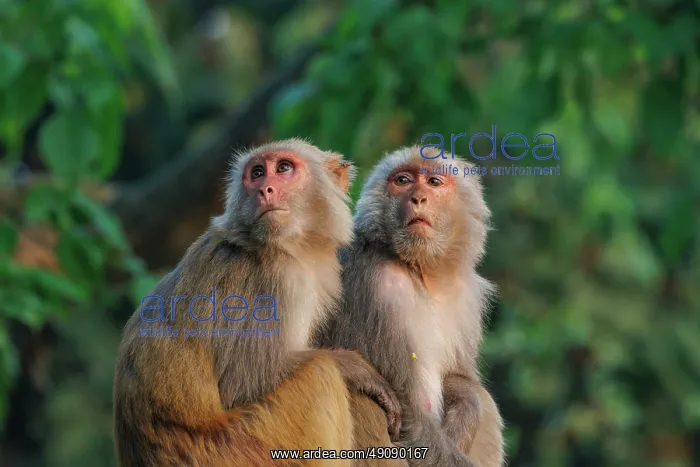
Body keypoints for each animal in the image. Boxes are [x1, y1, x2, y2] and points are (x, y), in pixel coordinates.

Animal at [113, 139, 402, 467]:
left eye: (284, 168)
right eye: (258, 172)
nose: (265, 190)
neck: (289, 247)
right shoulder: (271, 280)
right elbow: (243, 384)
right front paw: (353, 366)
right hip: (243, 448)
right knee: (320, 375)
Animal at [315, 145, 505, 467]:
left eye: (433, 182)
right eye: (402, 181)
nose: (417, 198)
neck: (422, 273)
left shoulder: (467, 297)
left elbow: (461, 382)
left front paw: (466, 405)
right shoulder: (380, 288)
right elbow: (414, 419)